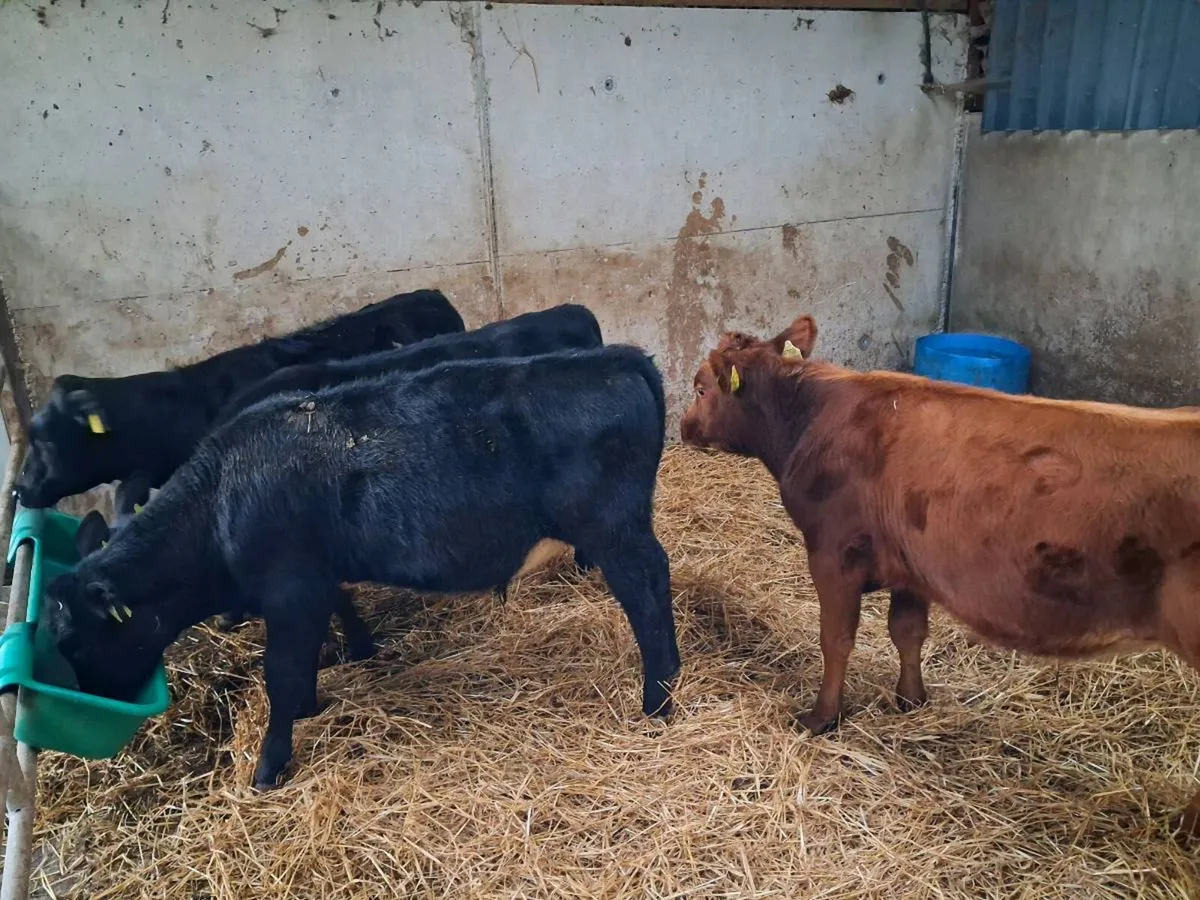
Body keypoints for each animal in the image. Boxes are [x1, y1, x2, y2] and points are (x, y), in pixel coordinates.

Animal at [42, 345, 680, 790]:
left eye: (76, 642)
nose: (97, 702)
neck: (219, 501)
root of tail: (617, 358)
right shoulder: (317, 575)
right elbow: (328, 628)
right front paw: (332, 680)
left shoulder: (291, 587)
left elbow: (282, 671)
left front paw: (269, 766)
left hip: (615, 531)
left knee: (646, 591)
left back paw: (659, 698)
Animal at [680, 314, 1200, 839]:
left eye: (700, 388)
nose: (683, 428)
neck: (813, 417)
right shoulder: (910, 565)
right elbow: (907, 632)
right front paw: (911, 700)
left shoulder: (833, 551)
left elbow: (836, 639)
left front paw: (822, 717)